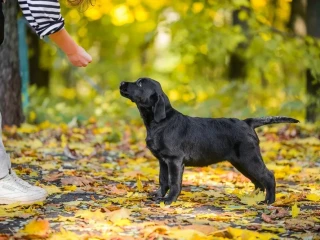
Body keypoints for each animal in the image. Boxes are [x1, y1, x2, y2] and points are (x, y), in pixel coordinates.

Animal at [119, 77, 298, 204]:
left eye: (140, 84)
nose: (121, 83)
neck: (161, 122)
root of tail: (247, 122)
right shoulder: (163, 161)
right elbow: (163, 180)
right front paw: (158, 196)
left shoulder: (174, 160)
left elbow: (174, 182)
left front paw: (169, 200)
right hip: (241, 162)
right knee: (258, 181)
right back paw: (253, 198)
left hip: (249, 158)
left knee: (268, 176)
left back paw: (269, 201)